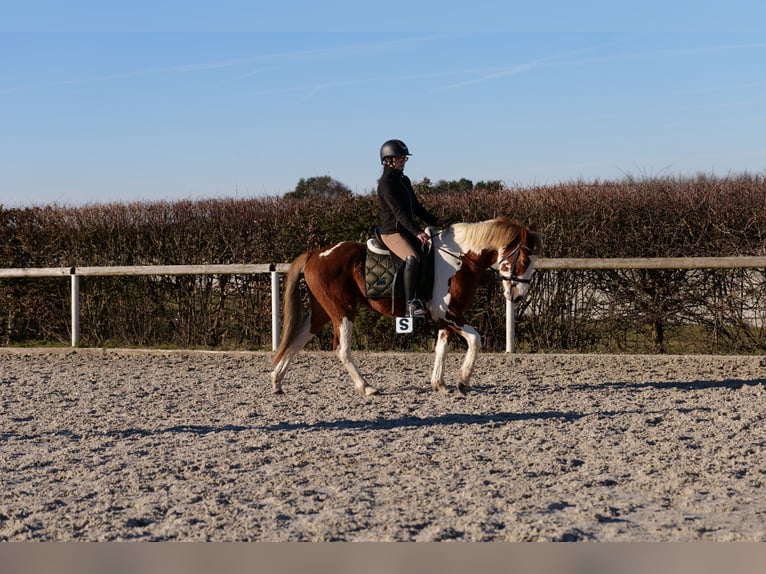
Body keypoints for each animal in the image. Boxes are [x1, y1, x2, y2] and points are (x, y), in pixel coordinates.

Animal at [272, 218, 544, 398]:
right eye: (524, 260)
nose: (519, 295)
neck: (460, 260)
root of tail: (315, 254)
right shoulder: (448, 314)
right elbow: (476, 340)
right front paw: (463, 381)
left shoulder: (447, 317)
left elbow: (441, 348)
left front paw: (440, 384)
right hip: (342, 311)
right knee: (341, 349)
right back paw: (365, 387)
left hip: (321, 312)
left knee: (297, 340)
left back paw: (277, 381)